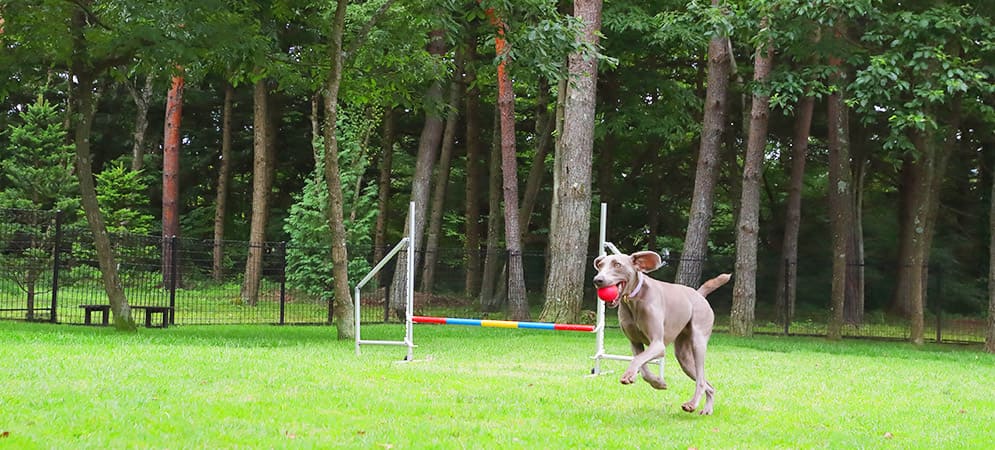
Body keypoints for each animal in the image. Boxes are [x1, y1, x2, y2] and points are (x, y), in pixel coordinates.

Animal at [592, 251, 732, 414]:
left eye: (617, 264)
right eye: (600, 266)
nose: (598, 280)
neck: (634, 300)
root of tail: (699, 294)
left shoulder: (658, 344)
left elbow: (638, 359)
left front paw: (630, 375)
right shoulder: (635, 343)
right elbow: (642, 367)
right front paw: (658, 382)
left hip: (698, 342)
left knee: (701, 380)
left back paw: (692, 404)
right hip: (683, 357)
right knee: (708, 384)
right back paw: (707, 409)